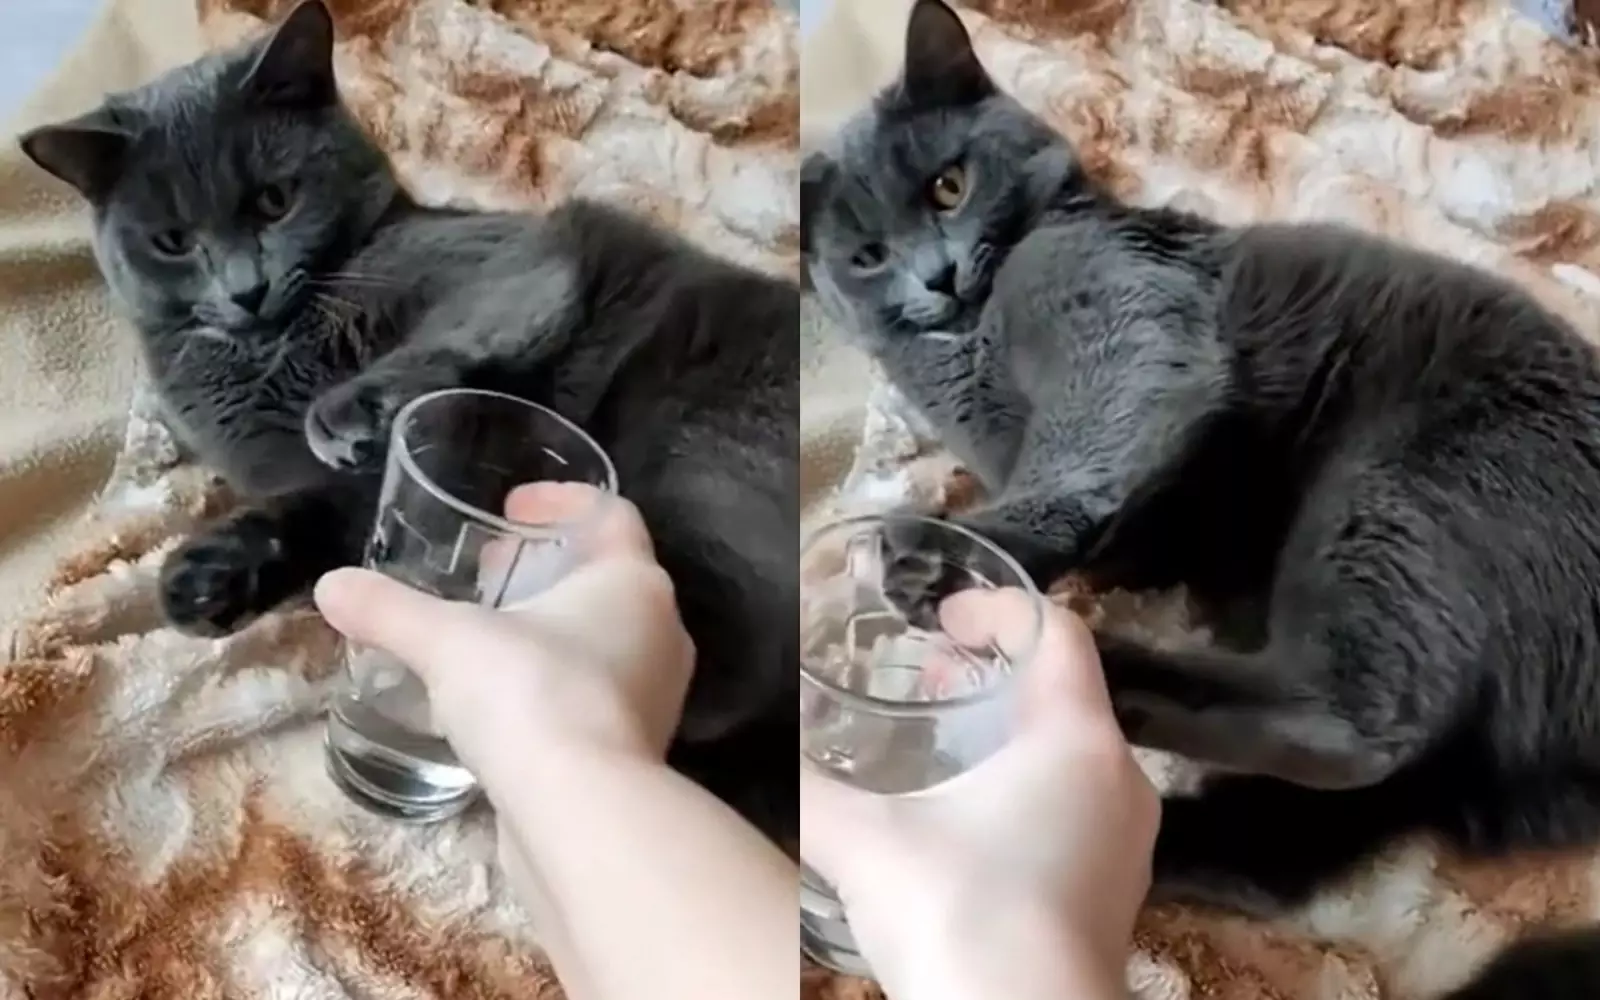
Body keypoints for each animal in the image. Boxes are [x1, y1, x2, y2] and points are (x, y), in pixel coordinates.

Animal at [20, 0, 798, 840]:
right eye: (172, 242)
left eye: (273, 200)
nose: (245, 289)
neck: (272, 352)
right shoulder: (317, 484)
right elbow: (324, 513)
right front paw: (210, 583)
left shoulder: (511, 264)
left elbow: (452, 339)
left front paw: (350, 414)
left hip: (701, 448)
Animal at [803, 0, 1600, 994]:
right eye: (867, 255)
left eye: (948, 187)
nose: (936, 275)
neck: (969, 347)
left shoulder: (1125, 309)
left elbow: (1097, 431)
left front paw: (960, 554)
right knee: (1292, 840)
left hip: (1404, 487)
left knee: (1349, 720)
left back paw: (1069, 661)